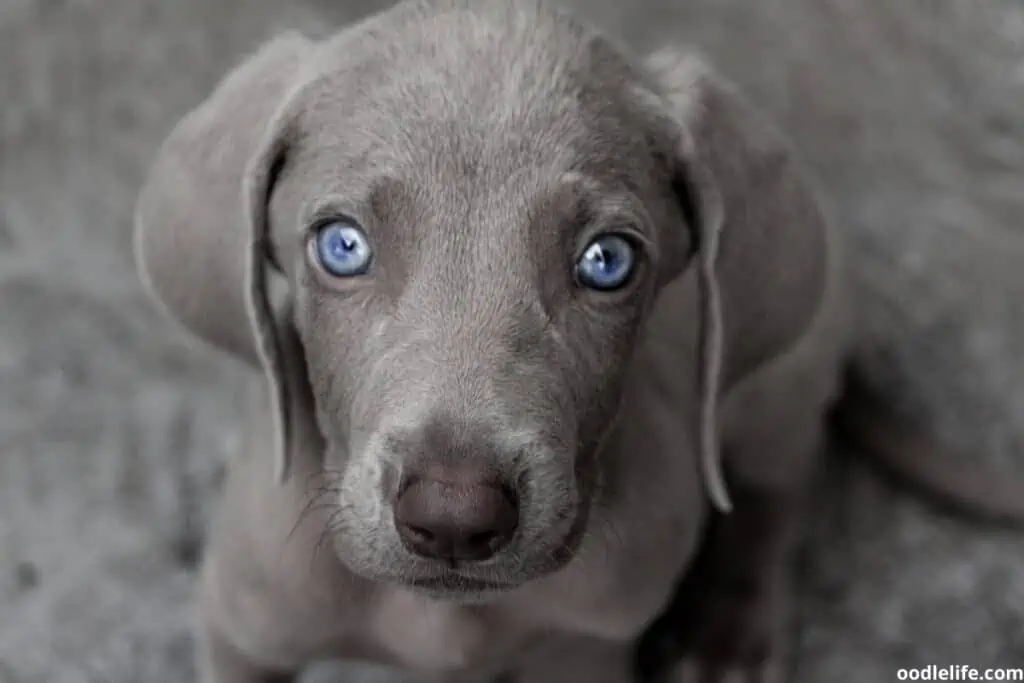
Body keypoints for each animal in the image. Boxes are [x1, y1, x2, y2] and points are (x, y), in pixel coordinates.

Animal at [132, 1, 1024, 683]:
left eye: (607, 261)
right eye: (341, 245)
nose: (453, 517)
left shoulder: (590, 645)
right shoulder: (241, 628)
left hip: (780, 385)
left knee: (773, 500)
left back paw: (728, 641)